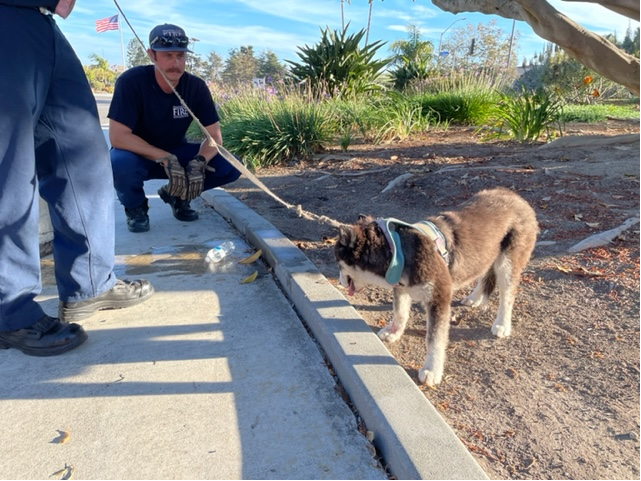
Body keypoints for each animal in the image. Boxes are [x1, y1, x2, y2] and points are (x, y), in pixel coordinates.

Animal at [336, 186, 540, 384]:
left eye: (339, 262)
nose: (339, 281)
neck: (397, 249)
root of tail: (518, 198)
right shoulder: (401, 288)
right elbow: (400, 313)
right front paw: (394, 333)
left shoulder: (438, 299)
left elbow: (434, 339)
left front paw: (432, 369)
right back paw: (474, 298)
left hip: (508, 262)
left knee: (507, 295)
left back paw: (502, 324)